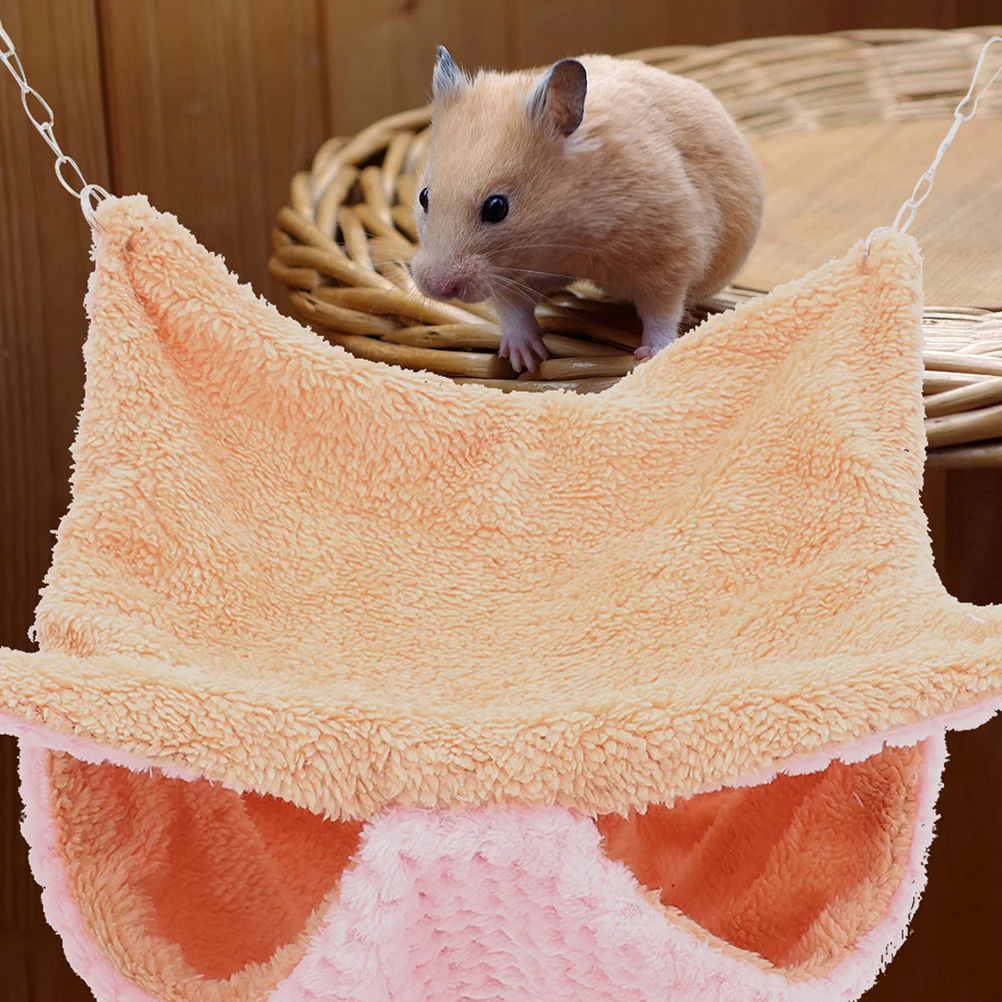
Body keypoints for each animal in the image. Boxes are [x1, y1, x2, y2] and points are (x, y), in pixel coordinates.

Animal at [410, 47, 764, 372]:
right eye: (424, 196)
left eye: (497, 207)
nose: (437, 288)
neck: (565, 238)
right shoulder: (507, 276)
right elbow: (514, 310)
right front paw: (526, 359)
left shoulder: (671, 253)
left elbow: (662, 310)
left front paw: (650, 355)